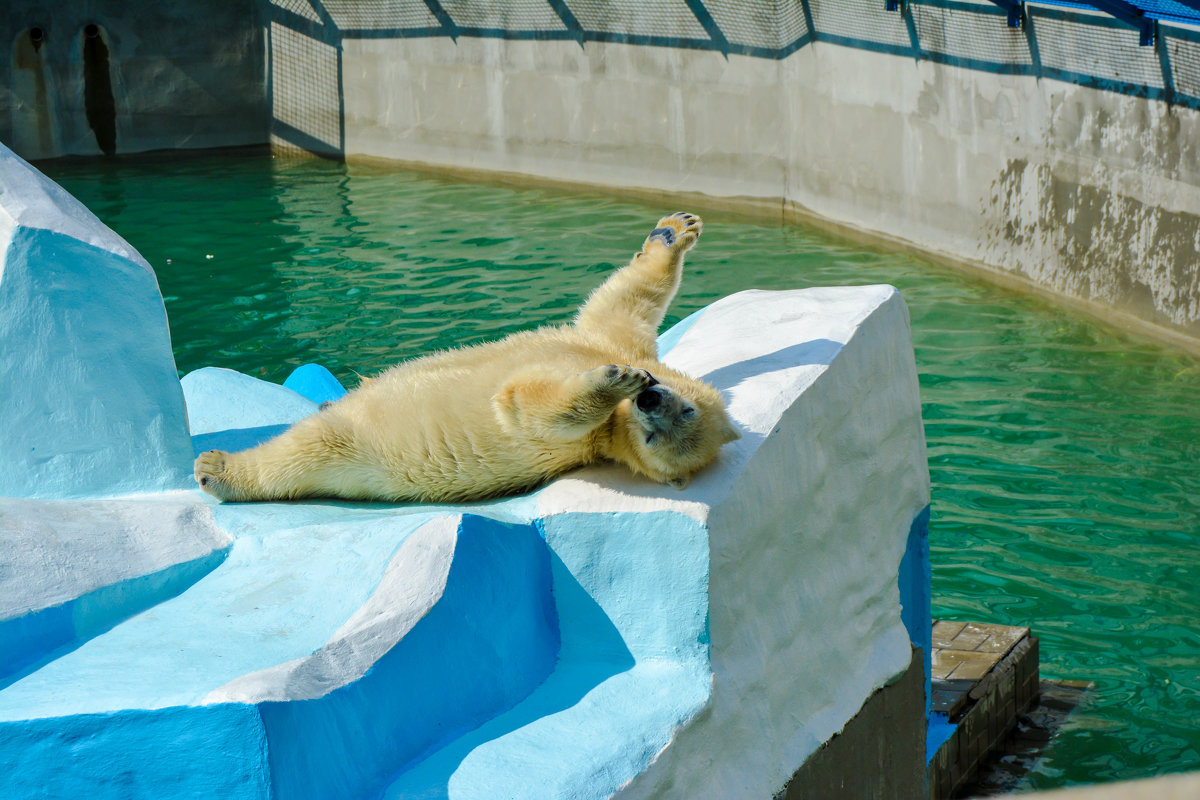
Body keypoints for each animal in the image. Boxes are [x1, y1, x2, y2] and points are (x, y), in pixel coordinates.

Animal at [192, 209, 734, 503]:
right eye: (686, 408)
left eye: (655, 436)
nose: (648, 400)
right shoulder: (612, 340)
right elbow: (623, 302)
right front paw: (675, 230)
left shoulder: (585, 441)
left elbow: (525, 405)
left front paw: (612, 381)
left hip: (354, 448)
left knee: (303, 451)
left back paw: (218, 467)